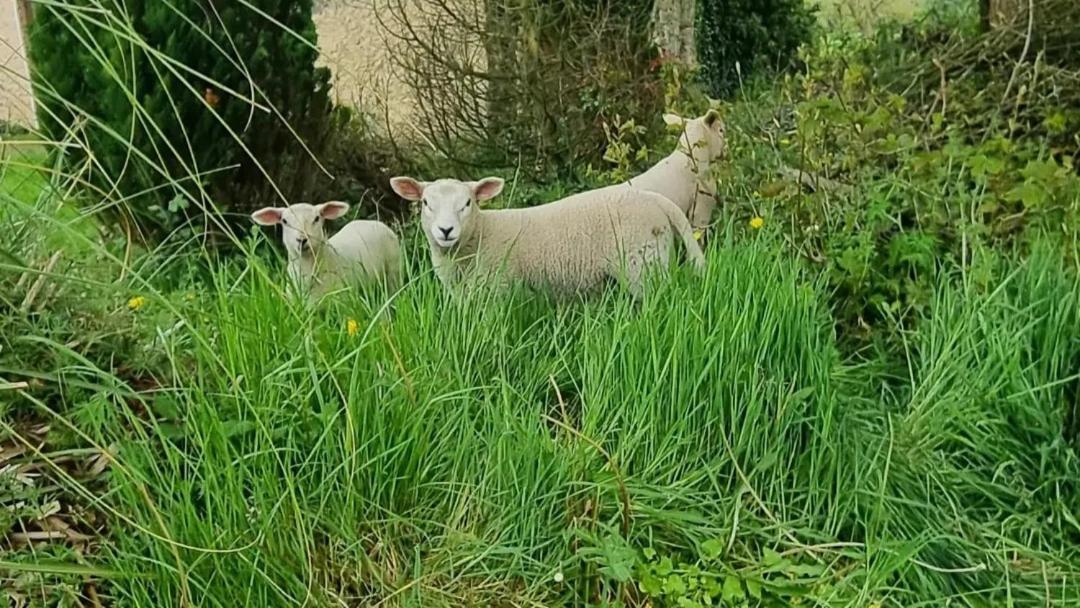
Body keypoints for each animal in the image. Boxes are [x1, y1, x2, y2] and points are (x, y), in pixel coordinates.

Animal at [393, 176, 704, 300]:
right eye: (425, 203)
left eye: (468, 203)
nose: (446, 230)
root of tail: (655, 199)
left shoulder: (496, 291)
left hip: (644, 264)